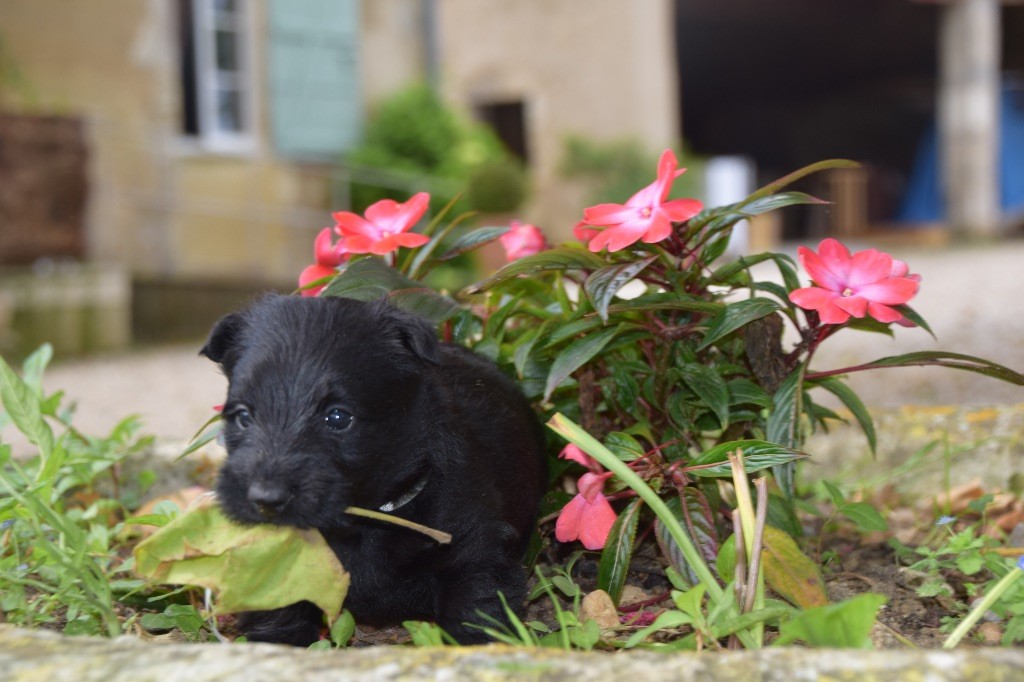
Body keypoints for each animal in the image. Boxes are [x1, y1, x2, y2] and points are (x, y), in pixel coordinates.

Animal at [200, 294, 546, 645]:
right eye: (243, 416)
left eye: (338, 417)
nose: (264, 499)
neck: (365, 522)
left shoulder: (474, 551)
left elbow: (476, 612)